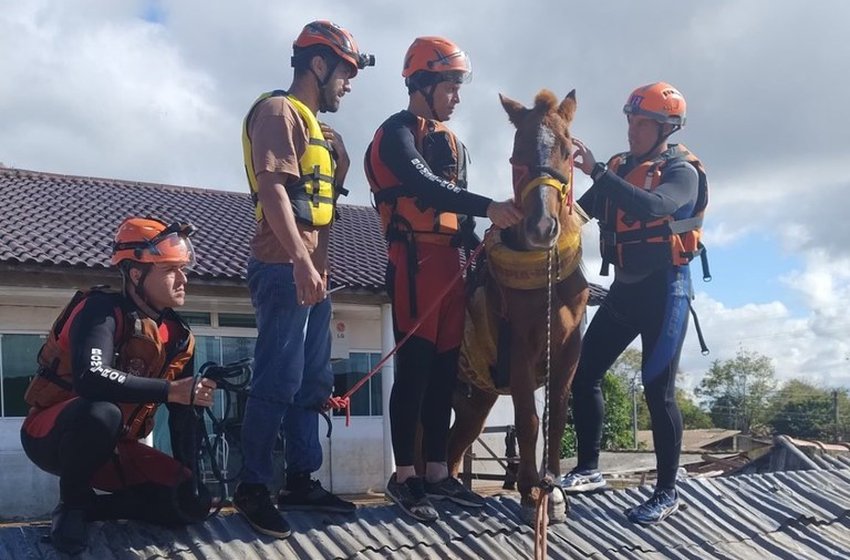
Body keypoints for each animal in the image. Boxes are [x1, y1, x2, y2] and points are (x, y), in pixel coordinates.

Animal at [444, 88, 588, 524]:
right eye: (515, 153)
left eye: (566, 149)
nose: (542, 228)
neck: (546, 278)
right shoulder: (521, 348)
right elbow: (528, 419)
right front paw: (529, 492)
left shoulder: (569, 351)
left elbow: (556, 416)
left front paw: (554, 492)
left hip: (475, 400)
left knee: (454, 446)